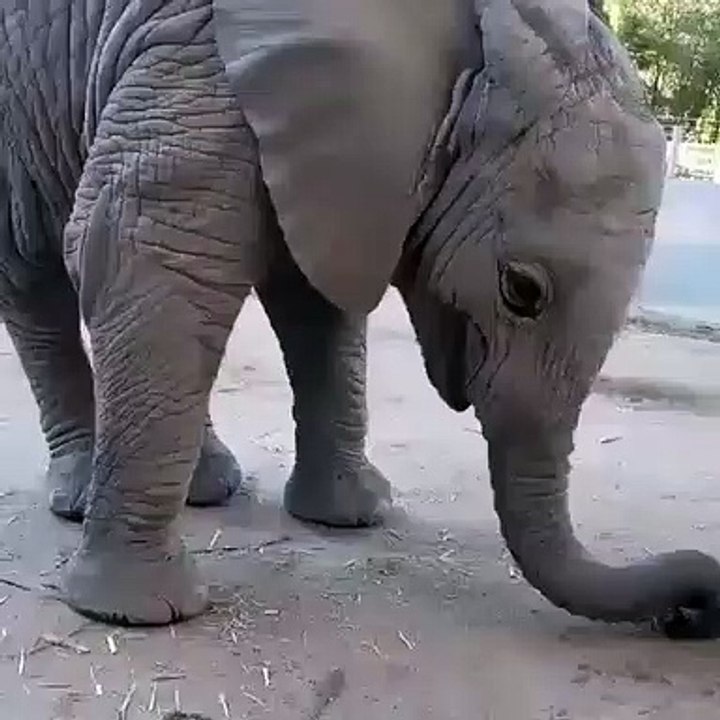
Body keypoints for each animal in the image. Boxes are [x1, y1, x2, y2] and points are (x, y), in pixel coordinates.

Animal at [1, 0, 719, 637]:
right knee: (35, 277)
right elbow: (144, 255)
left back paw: (205, 489)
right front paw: (137, 614)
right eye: (521, 291)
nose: (691, 612)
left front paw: (351, 518)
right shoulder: (200, 76)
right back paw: (80, 501)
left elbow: (316, 301)